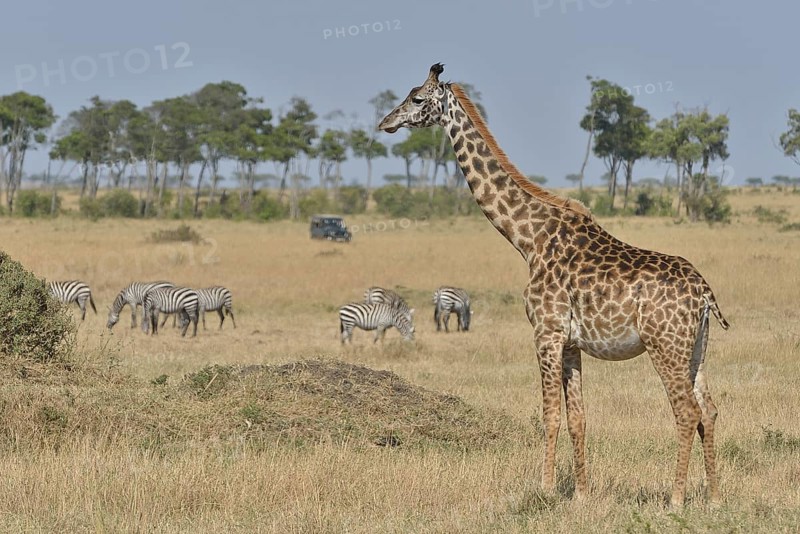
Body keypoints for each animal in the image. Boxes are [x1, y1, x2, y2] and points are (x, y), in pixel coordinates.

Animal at [378, 64, 729, 507]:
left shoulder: (545, 332)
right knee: (709, 409)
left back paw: (676, 500)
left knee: (686, 411)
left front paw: (544, 489)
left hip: (664, 343)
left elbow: (550, 415)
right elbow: (578, 417)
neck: (528, 239)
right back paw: (714, 497)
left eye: (418, 99)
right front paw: (581, 494)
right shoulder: (571, 342)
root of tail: (704, 294)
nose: (386, 122)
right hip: (697, 347)